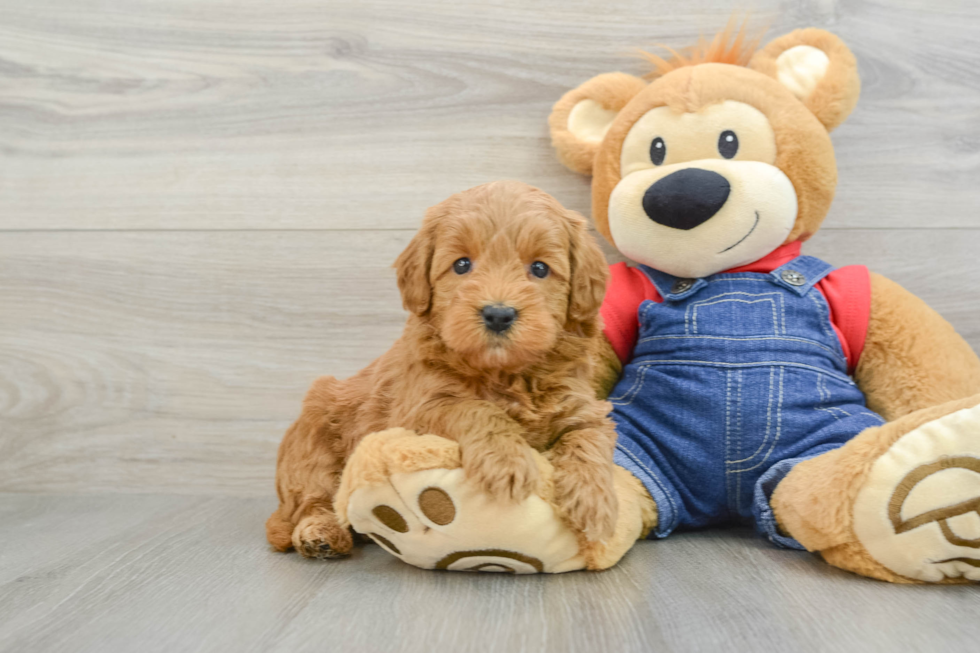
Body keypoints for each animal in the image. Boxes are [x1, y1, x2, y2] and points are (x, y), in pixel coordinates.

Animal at [266, 181, 620, 556]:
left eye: (539, 269)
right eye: (462, 264)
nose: (498, 314)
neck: (507, 372)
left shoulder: (582, 406)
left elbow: (589, 438)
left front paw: (595, 502)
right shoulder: (419, 409)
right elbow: (475, 409)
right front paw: (507, 463)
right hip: (312, 440)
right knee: (314, 497)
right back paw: (321, 534)